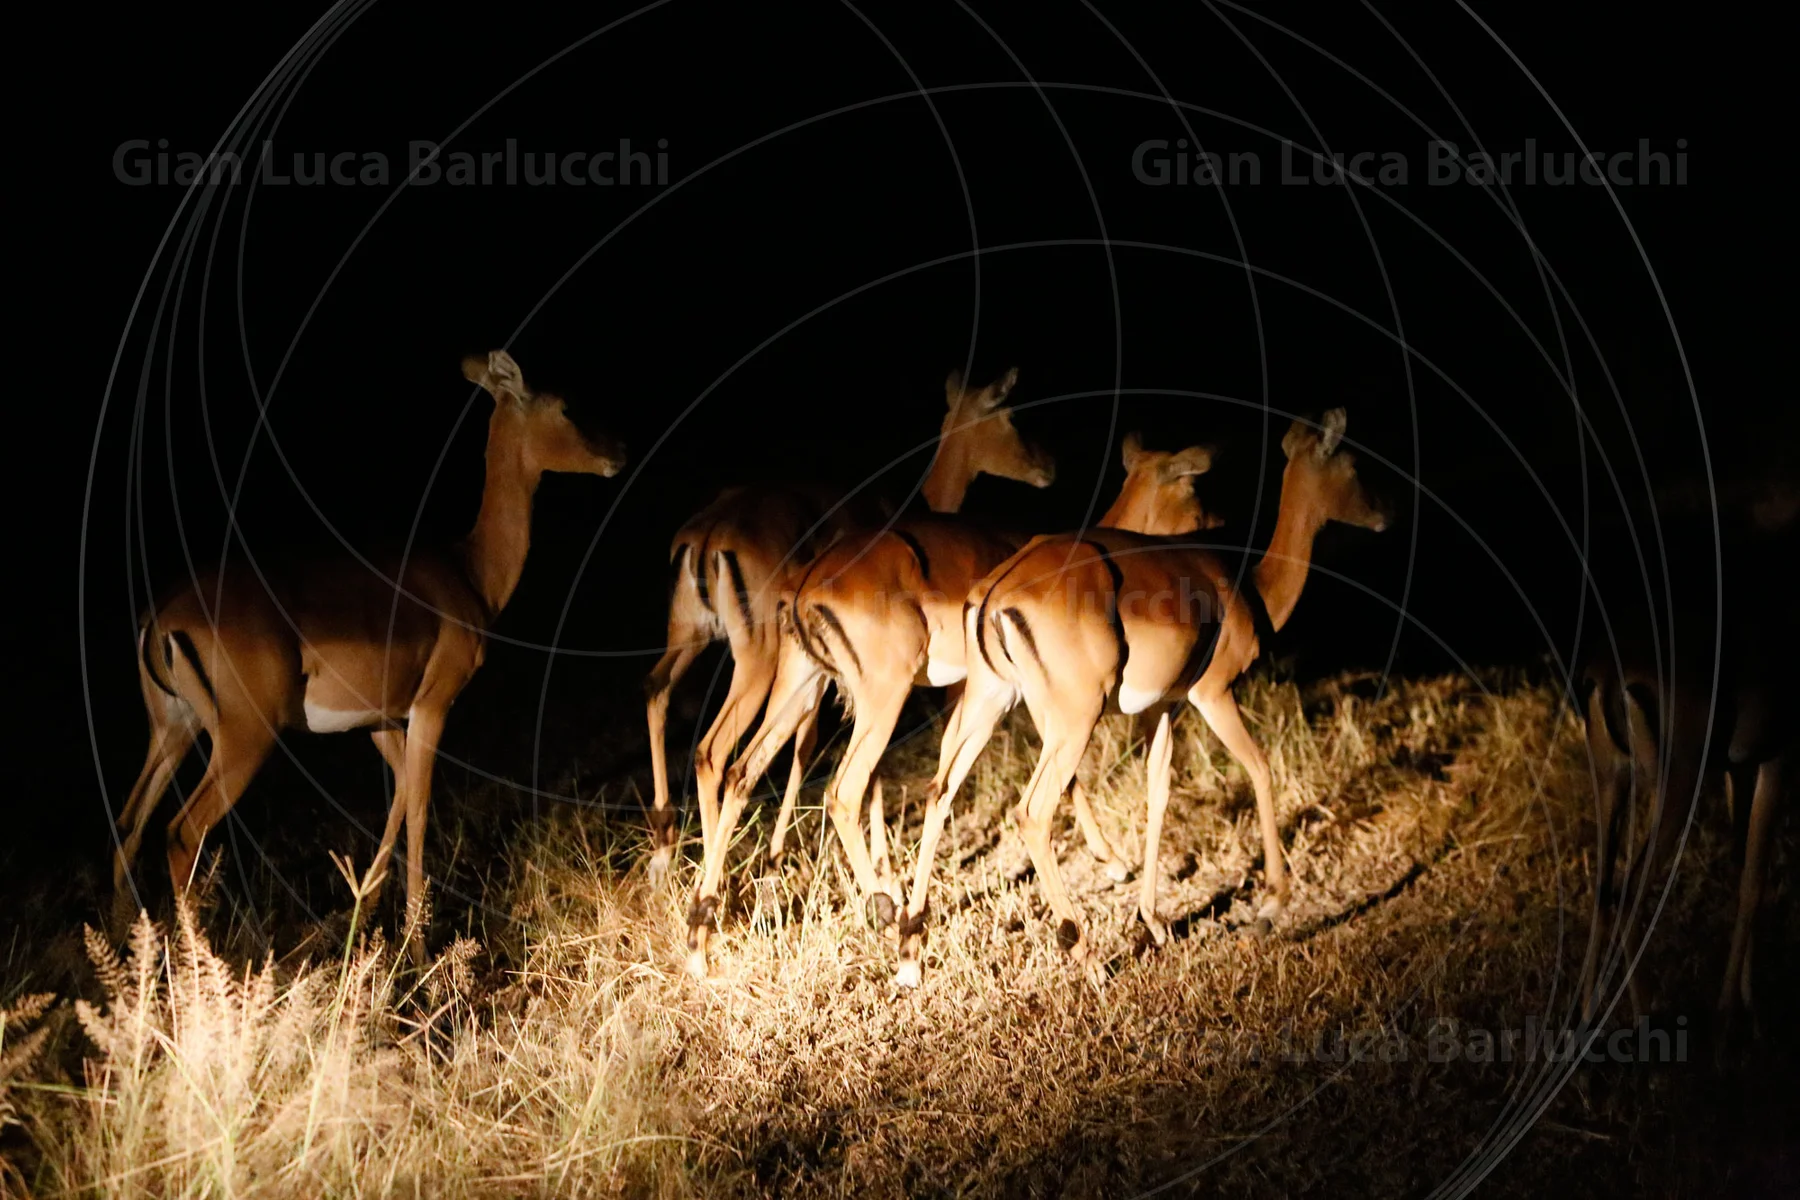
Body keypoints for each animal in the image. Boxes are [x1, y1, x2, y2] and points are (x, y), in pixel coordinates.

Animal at [113, 351, 624, 952]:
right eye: (565, 406)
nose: (617, 452)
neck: (471, 572)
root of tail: (163, 614)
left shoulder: (379, 720)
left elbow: (400, 795)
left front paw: (370, 915)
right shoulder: (433, 706)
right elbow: (420, 807)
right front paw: (416, 942)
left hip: (174, 728)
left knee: (129, 825)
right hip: (244, 737)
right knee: (180, 832)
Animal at [681, 367, 1059, 976]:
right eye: (1009, 413)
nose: (1047, 465)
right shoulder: (963, 689)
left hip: (800, 686)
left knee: (736, 767)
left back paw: (701, 931)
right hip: (865, 693)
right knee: (838, 788)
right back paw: (883, 910)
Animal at [900, 410, 1385, 985]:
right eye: (1352, 463)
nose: (1384, 514)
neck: (1249, 590)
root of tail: (995, 595)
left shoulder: (1162, 708)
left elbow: (1159, 791)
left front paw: (1152, 921)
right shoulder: (1212, 694)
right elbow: (1261, 768)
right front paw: (1272, 902)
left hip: (989, 703)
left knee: (940, 789)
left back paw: (909, 955)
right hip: (1074, 720)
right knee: (1032, 812)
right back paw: (1086, 957)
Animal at [1576, 506, 1794, 1033]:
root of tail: (1609, 673)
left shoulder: (1740, 767)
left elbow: (1739, 869)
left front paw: (1746, 1000)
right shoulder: (1777, 757)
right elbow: (1755, 882)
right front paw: (1736, 1014)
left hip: (1612, 779)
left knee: (1602, 889)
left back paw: (1589, 1019)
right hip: (1677, 783)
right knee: (1629, 893)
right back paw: (1645, 1017)